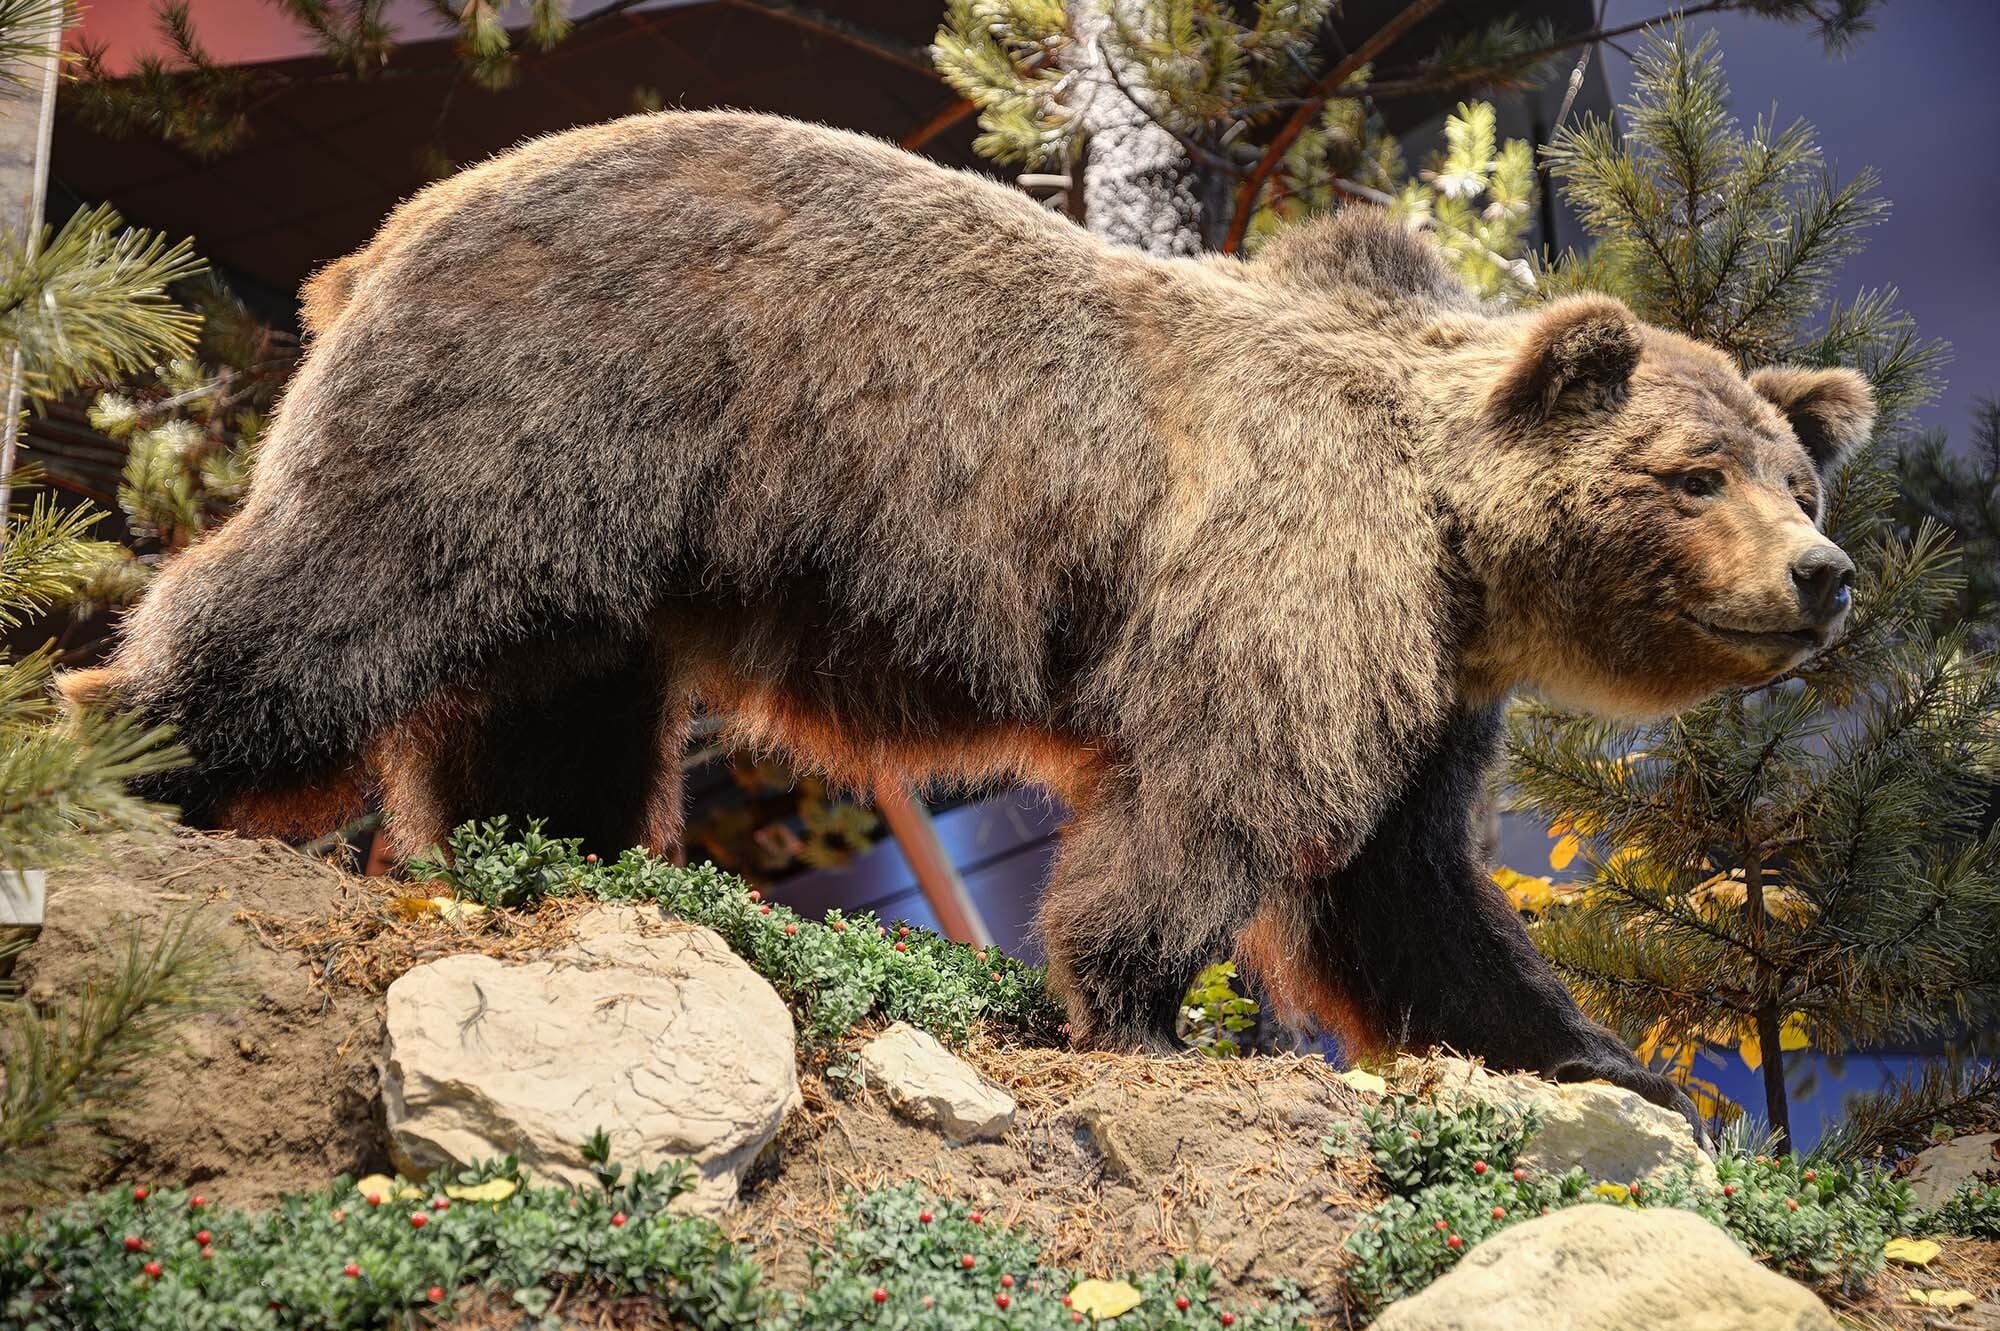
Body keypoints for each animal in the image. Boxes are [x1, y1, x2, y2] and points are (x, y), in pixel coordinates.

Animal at [62, 112, 1874, 1128]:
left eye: (1800, 474)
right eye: (1695, 473)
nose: (1826, 576)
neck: (1455, 547)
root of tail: (383, 233)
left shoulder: (1428, 685)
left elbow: (1409, 890)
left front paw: (1614, 1063)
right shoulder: (1295, 579)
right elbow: (1219, 808)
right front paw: (1153, 1014)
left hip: (605, 537)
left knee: (551, 706)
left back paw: (560, 861)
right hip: (545, 397)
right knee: (337, 593)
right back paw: (131, 752)